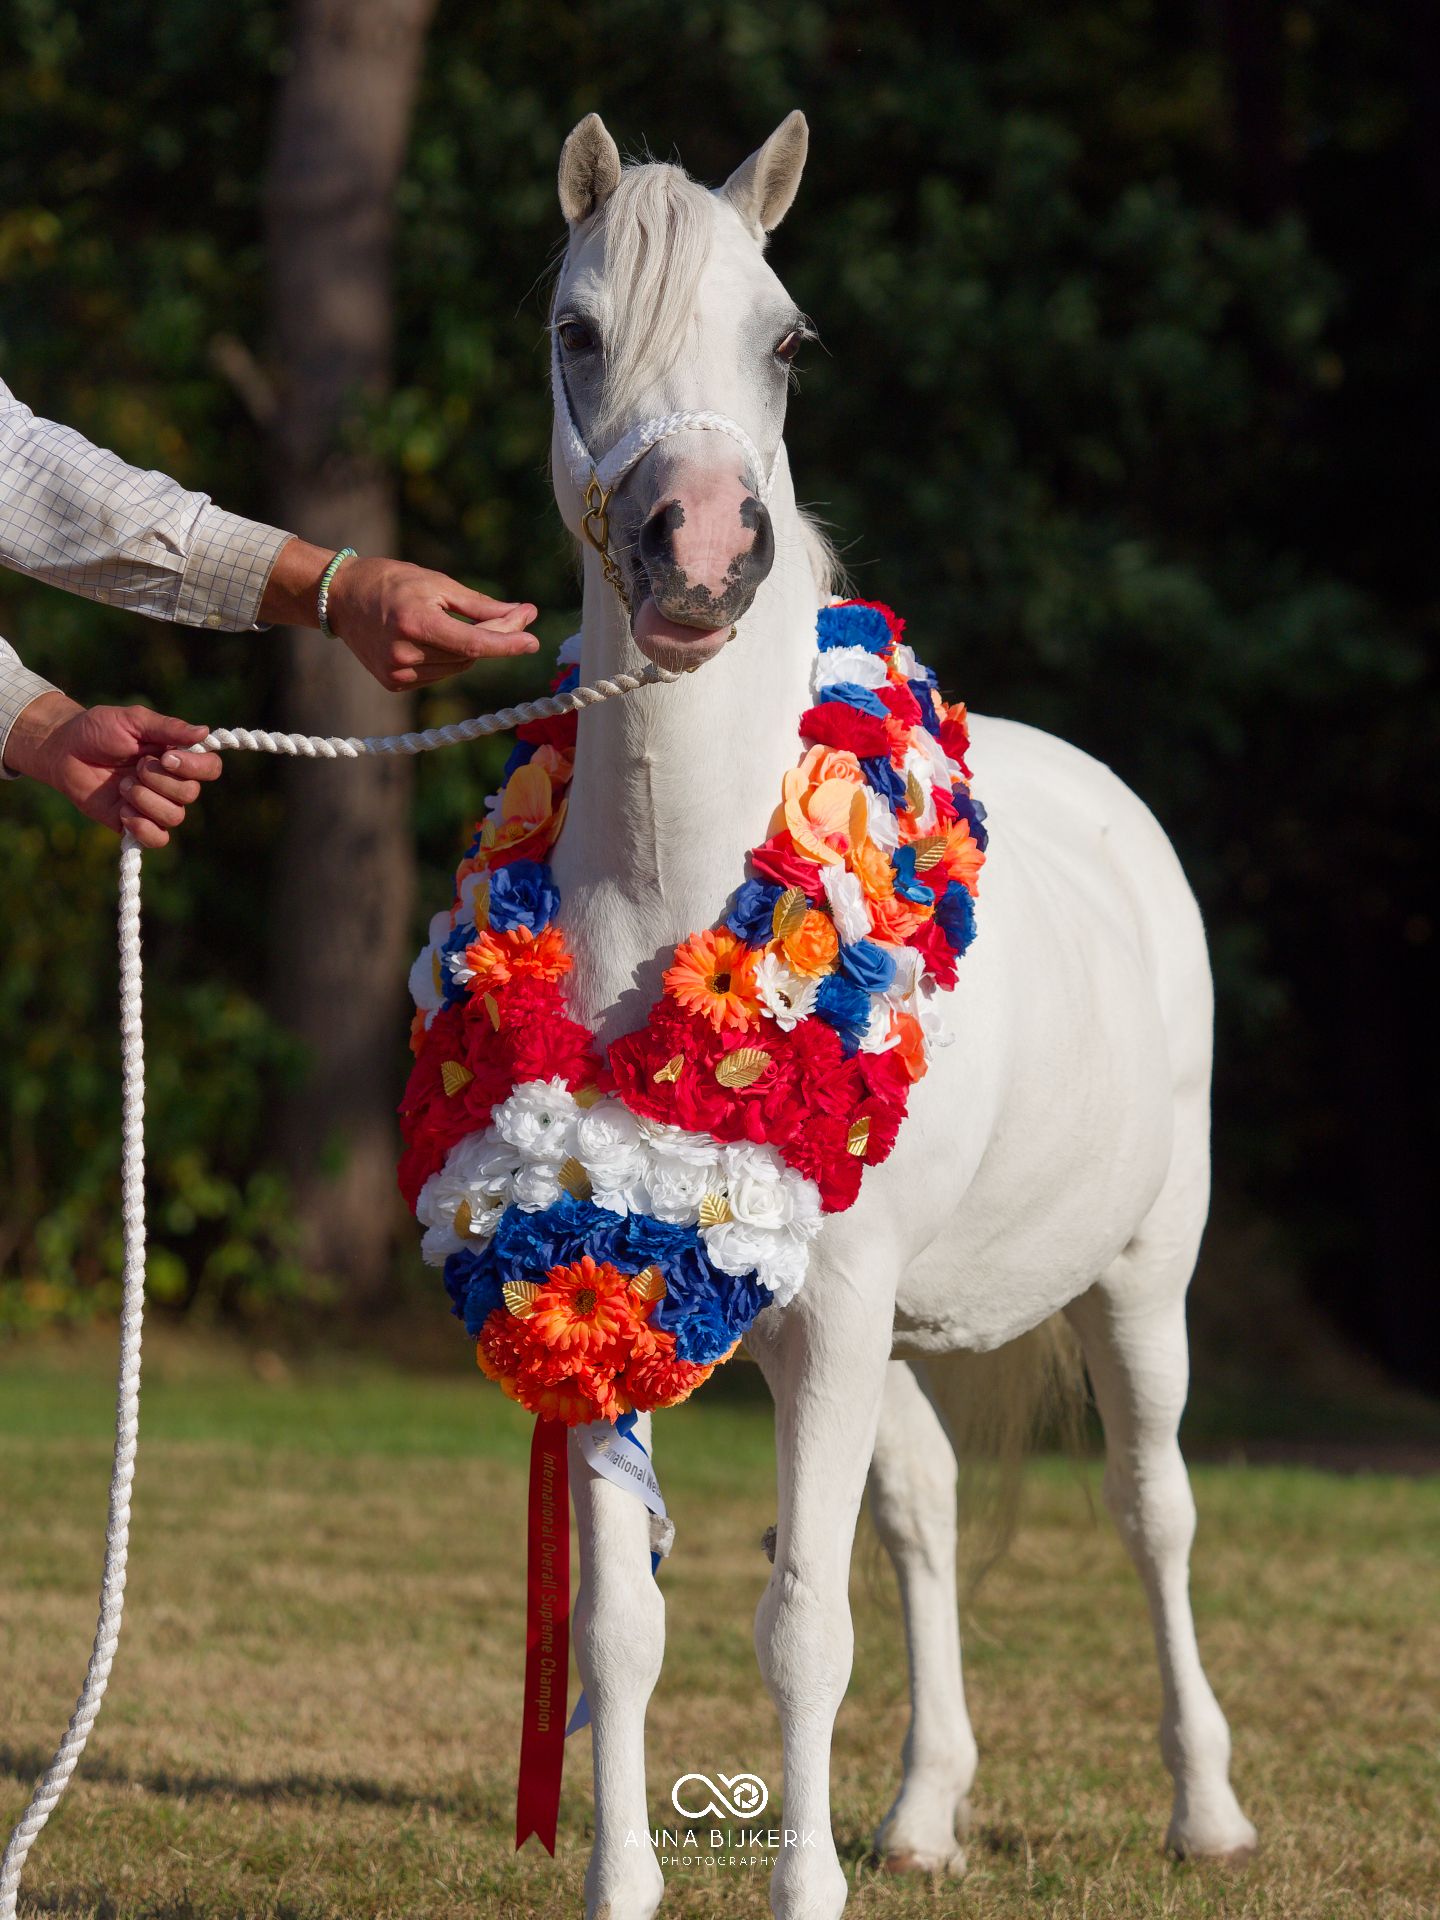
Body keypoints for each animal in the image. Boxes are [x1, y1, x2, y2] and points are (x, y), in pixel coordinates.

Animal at [543, 110, 1257, 1920]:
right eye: (577, 329)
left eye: (788, 341)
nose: (699, 546)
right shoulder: (613, 1282)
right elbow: (624, 1627)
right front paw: (626, 1886)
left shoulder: (842, 1312)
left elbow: (802, 1628)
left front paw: (803, 1893)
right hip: (881, 1334)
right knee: (927, 1509)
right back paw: (928, 1813)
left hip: (1138, 1277)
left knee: (1153, 1509)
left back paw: (1207, 1810)